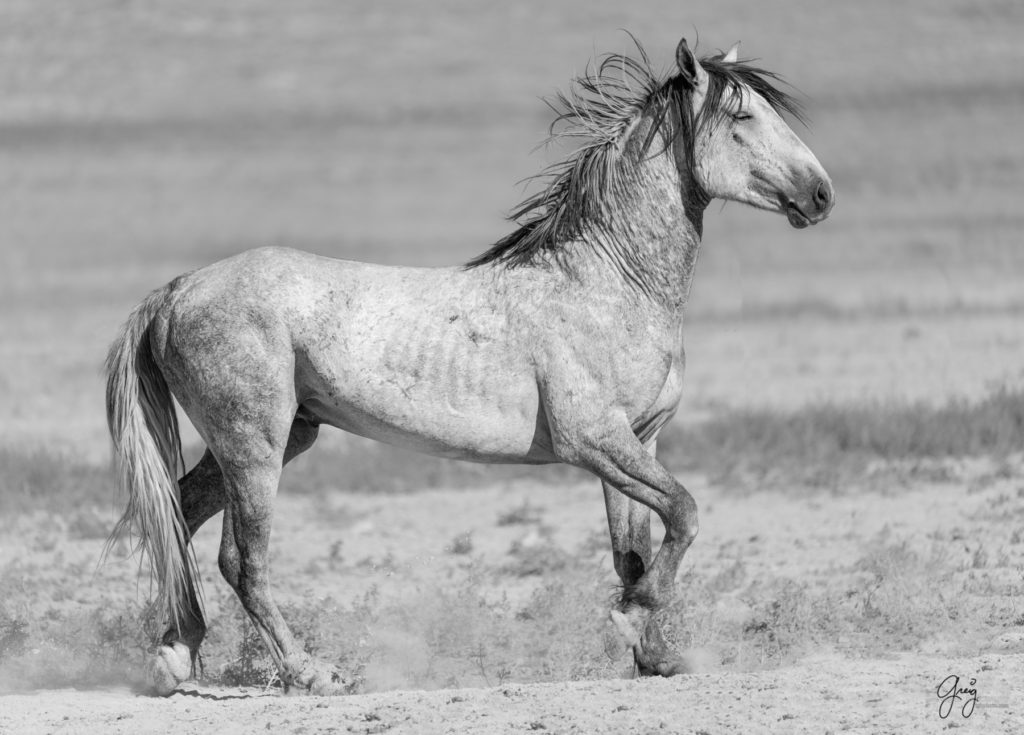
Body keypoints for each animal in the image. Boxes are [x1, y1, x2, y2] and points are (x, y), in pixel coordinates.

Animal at [105, 37, 831, 696]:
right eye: (741, 117)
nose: (821, 194)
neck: (608, 279)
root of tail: (176, 291)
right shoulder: (594, 440)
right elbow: (685, 512)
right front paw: (632, 619)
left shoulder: (639, 440)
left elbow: (634, 549)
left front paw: (652, 655)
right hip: (254, 444)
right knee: (240, 560)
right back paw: (310, 672)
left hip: (281, 438)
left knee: (177, 513)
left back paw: (176, 656)